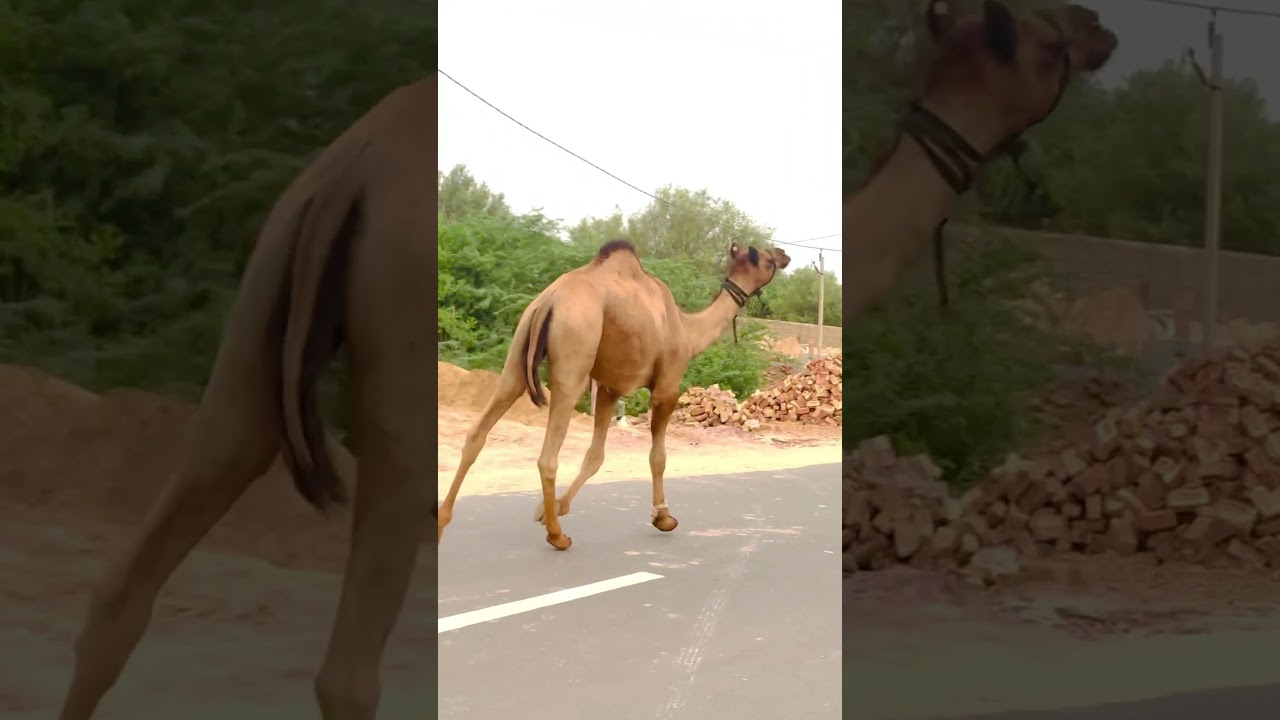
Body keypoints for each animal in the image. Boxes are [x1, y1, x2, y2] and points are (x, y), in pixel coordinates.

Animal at [437, 239, 790, 549]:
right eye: (767, 259)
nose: (783, 254)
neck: (688, 332)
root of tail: (550, 299)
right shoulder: (667, 386)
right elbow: (658, 457)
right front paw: (663, 517)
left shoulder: (609, 387)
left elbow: (596, 456)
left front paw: (550, 508)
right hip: (574, 355)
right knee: (548, 455)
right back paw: (557, 536)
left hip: (519, 348)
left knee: (478, 431)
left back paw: (442, 522)